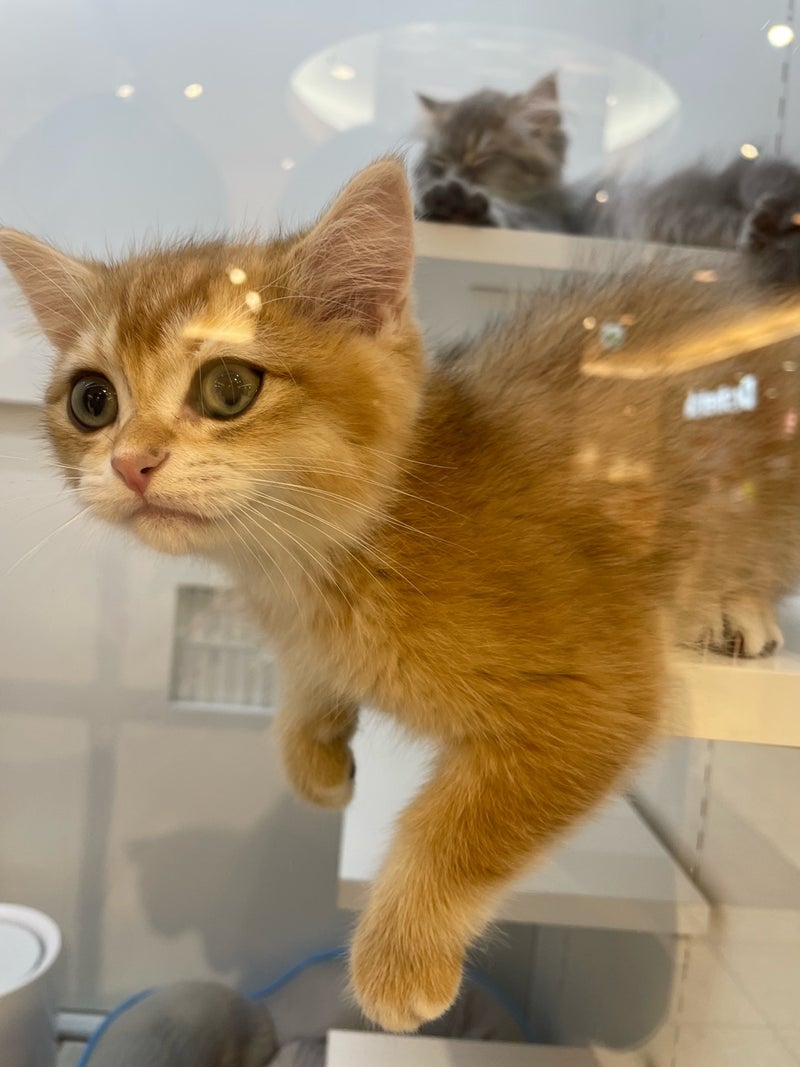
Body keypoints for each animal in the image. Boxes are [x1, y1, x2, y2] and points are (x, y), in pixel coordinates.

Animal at [2, 160, 799, 1032]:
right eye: (92, 400)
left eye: (228, 386)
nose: (131, 463)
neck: (339, 554)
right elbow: (305, 690)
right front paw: (315, 753)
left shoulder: (599, 687)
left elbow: (460, 825)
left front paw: (399, 956)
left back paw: (735, 607)